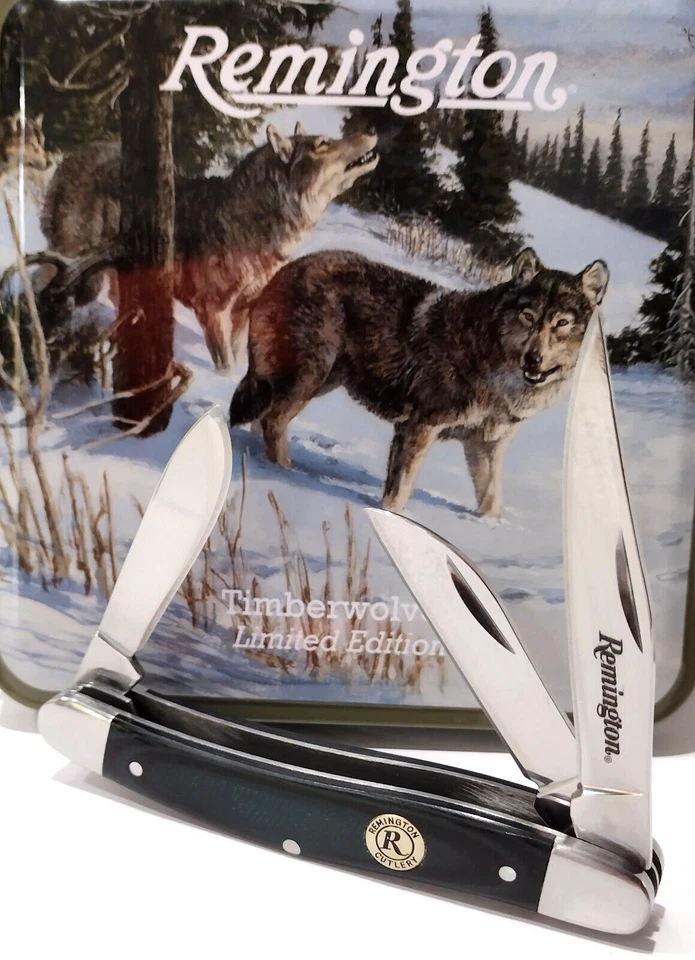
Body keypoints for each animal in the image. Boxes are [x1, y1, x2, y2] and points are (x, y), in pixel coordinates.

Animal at [40, 123, 378, 369]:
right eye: (322, 144)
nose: (371, 131)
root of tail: (74, 156)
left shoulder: (246, 306)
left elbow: (239, 358)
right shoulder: (212, 308)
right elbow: (224, 365)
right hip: (81, 265)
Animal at [229, 248, 609, 517]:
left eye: (561, 323)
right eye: (528, 317)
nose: (533, 359)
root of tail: (290, 267)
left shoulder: (486, 447)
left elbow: (491, 503)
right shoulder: (419, 427)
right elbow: (398, 493)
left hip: (316, 381)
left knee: (265, 419)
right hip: (311, 376)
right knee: (272, 420)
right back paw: (286, 475)